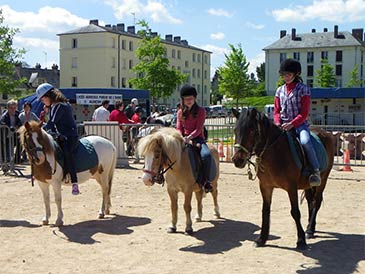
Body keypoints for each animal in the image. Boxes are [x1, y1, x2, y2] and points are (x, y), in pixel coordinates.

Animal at [232, 108, 332, 249]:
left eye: (251, 130)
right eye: (235, 130)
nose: (237, 160)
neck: (275, 153)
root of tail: (325, 133)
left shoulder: (291, 187)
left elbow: (295, 212)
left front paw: (301, 240)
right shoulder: (265, 187)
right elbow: (265, 211)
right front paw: (261, 239)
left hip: (323, 180)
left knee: (316, 202)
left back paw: (309, 230)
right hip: (308, 185)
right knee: (310, 202)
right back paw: (310, 228)